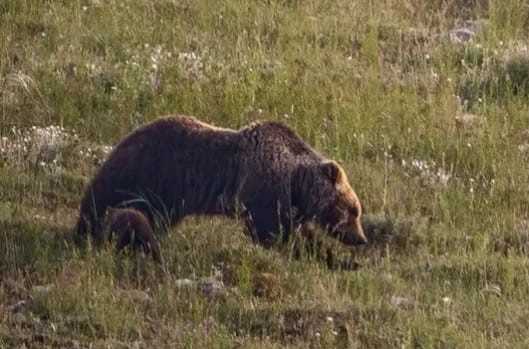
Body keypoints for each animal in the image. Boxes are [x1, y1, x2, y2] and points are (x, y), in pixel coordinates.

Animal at [75, 115, 368, 251]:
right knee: (110, 206)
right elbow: (269, 231)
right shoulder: (263, 187)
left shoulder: (287, 203)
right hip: (146, 175)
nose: (361, 239)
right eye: (353, 210)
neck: (295, 180)